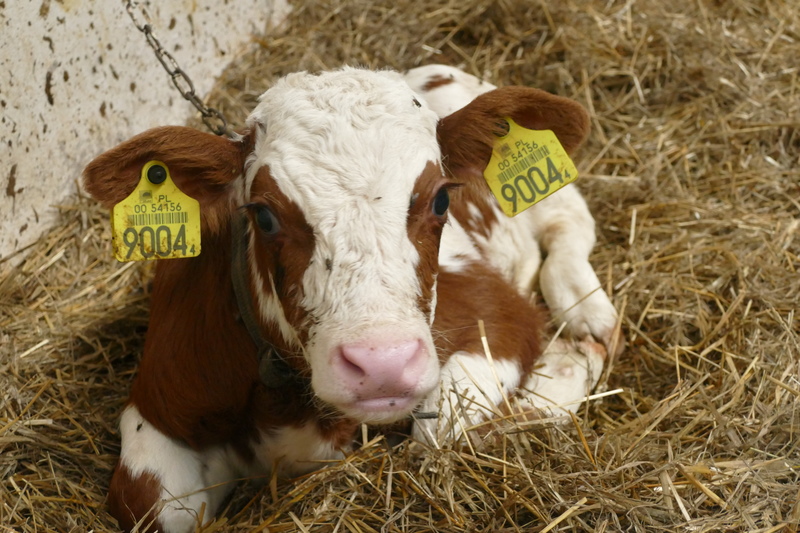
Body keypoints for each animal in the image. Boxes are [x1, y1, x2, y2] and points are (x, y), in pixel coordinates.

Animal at [81, 66, 620, 532]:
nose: (383, 363)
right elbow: (150, 505)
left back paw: (586, 312)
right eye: (263, 215)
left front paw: (566, 367)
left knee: (569, 225)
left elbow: (442, 432)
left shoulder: (497, 311)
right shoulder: (158, 405)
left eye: (441, 199)